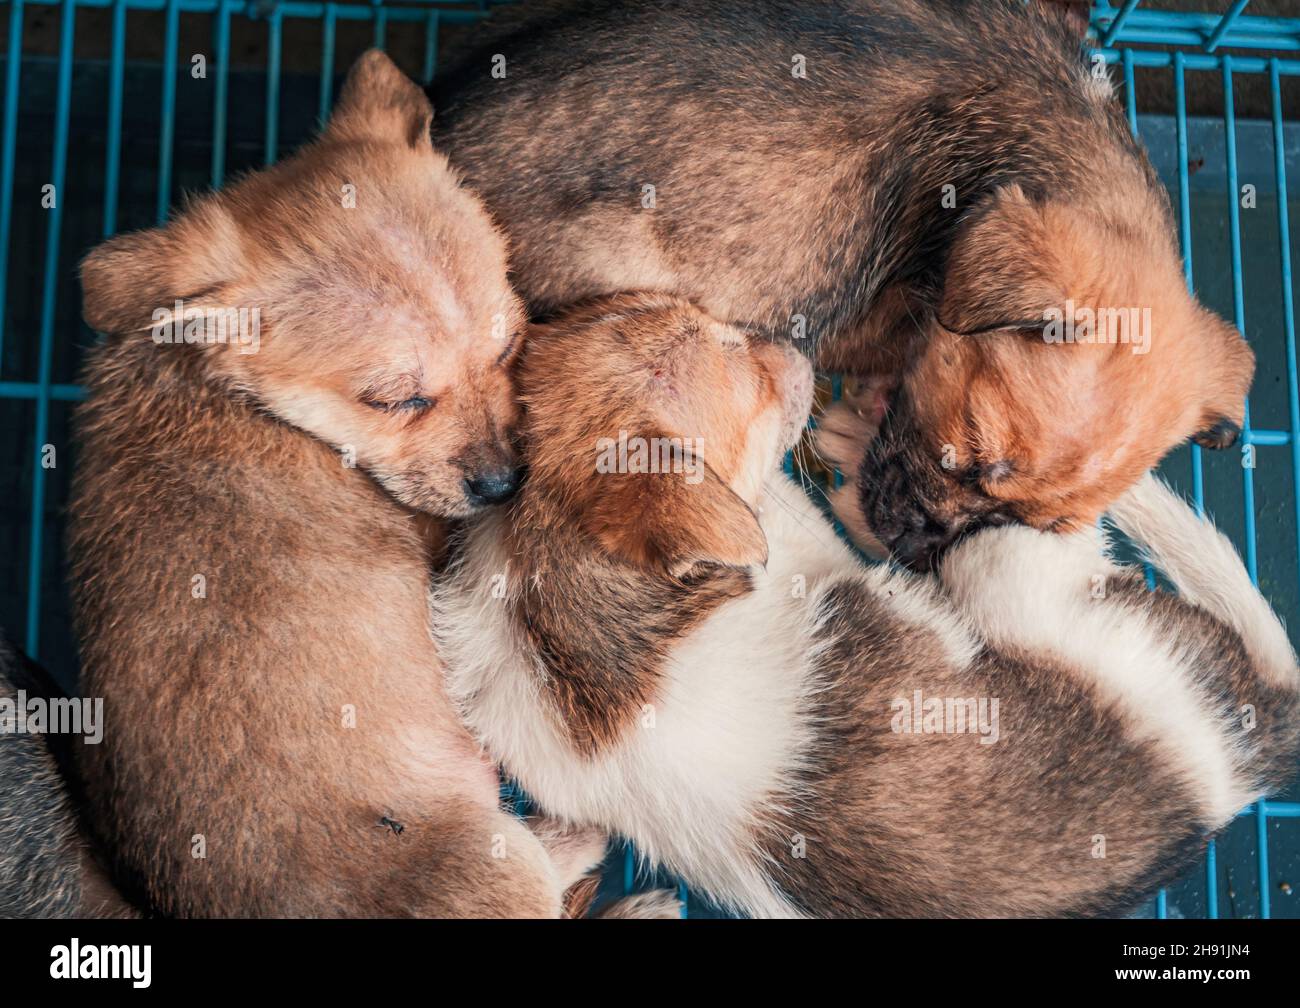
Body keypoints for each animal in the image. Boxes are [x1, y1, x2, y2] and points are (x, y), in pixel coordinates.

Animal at [434, 293, 1300, 920]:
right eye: (743, 375)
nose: (797, 348)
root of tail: (1253, 742)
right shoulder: (788, 546)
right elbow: (794, 515)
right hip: (1014, 571)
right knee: (1030, 537)